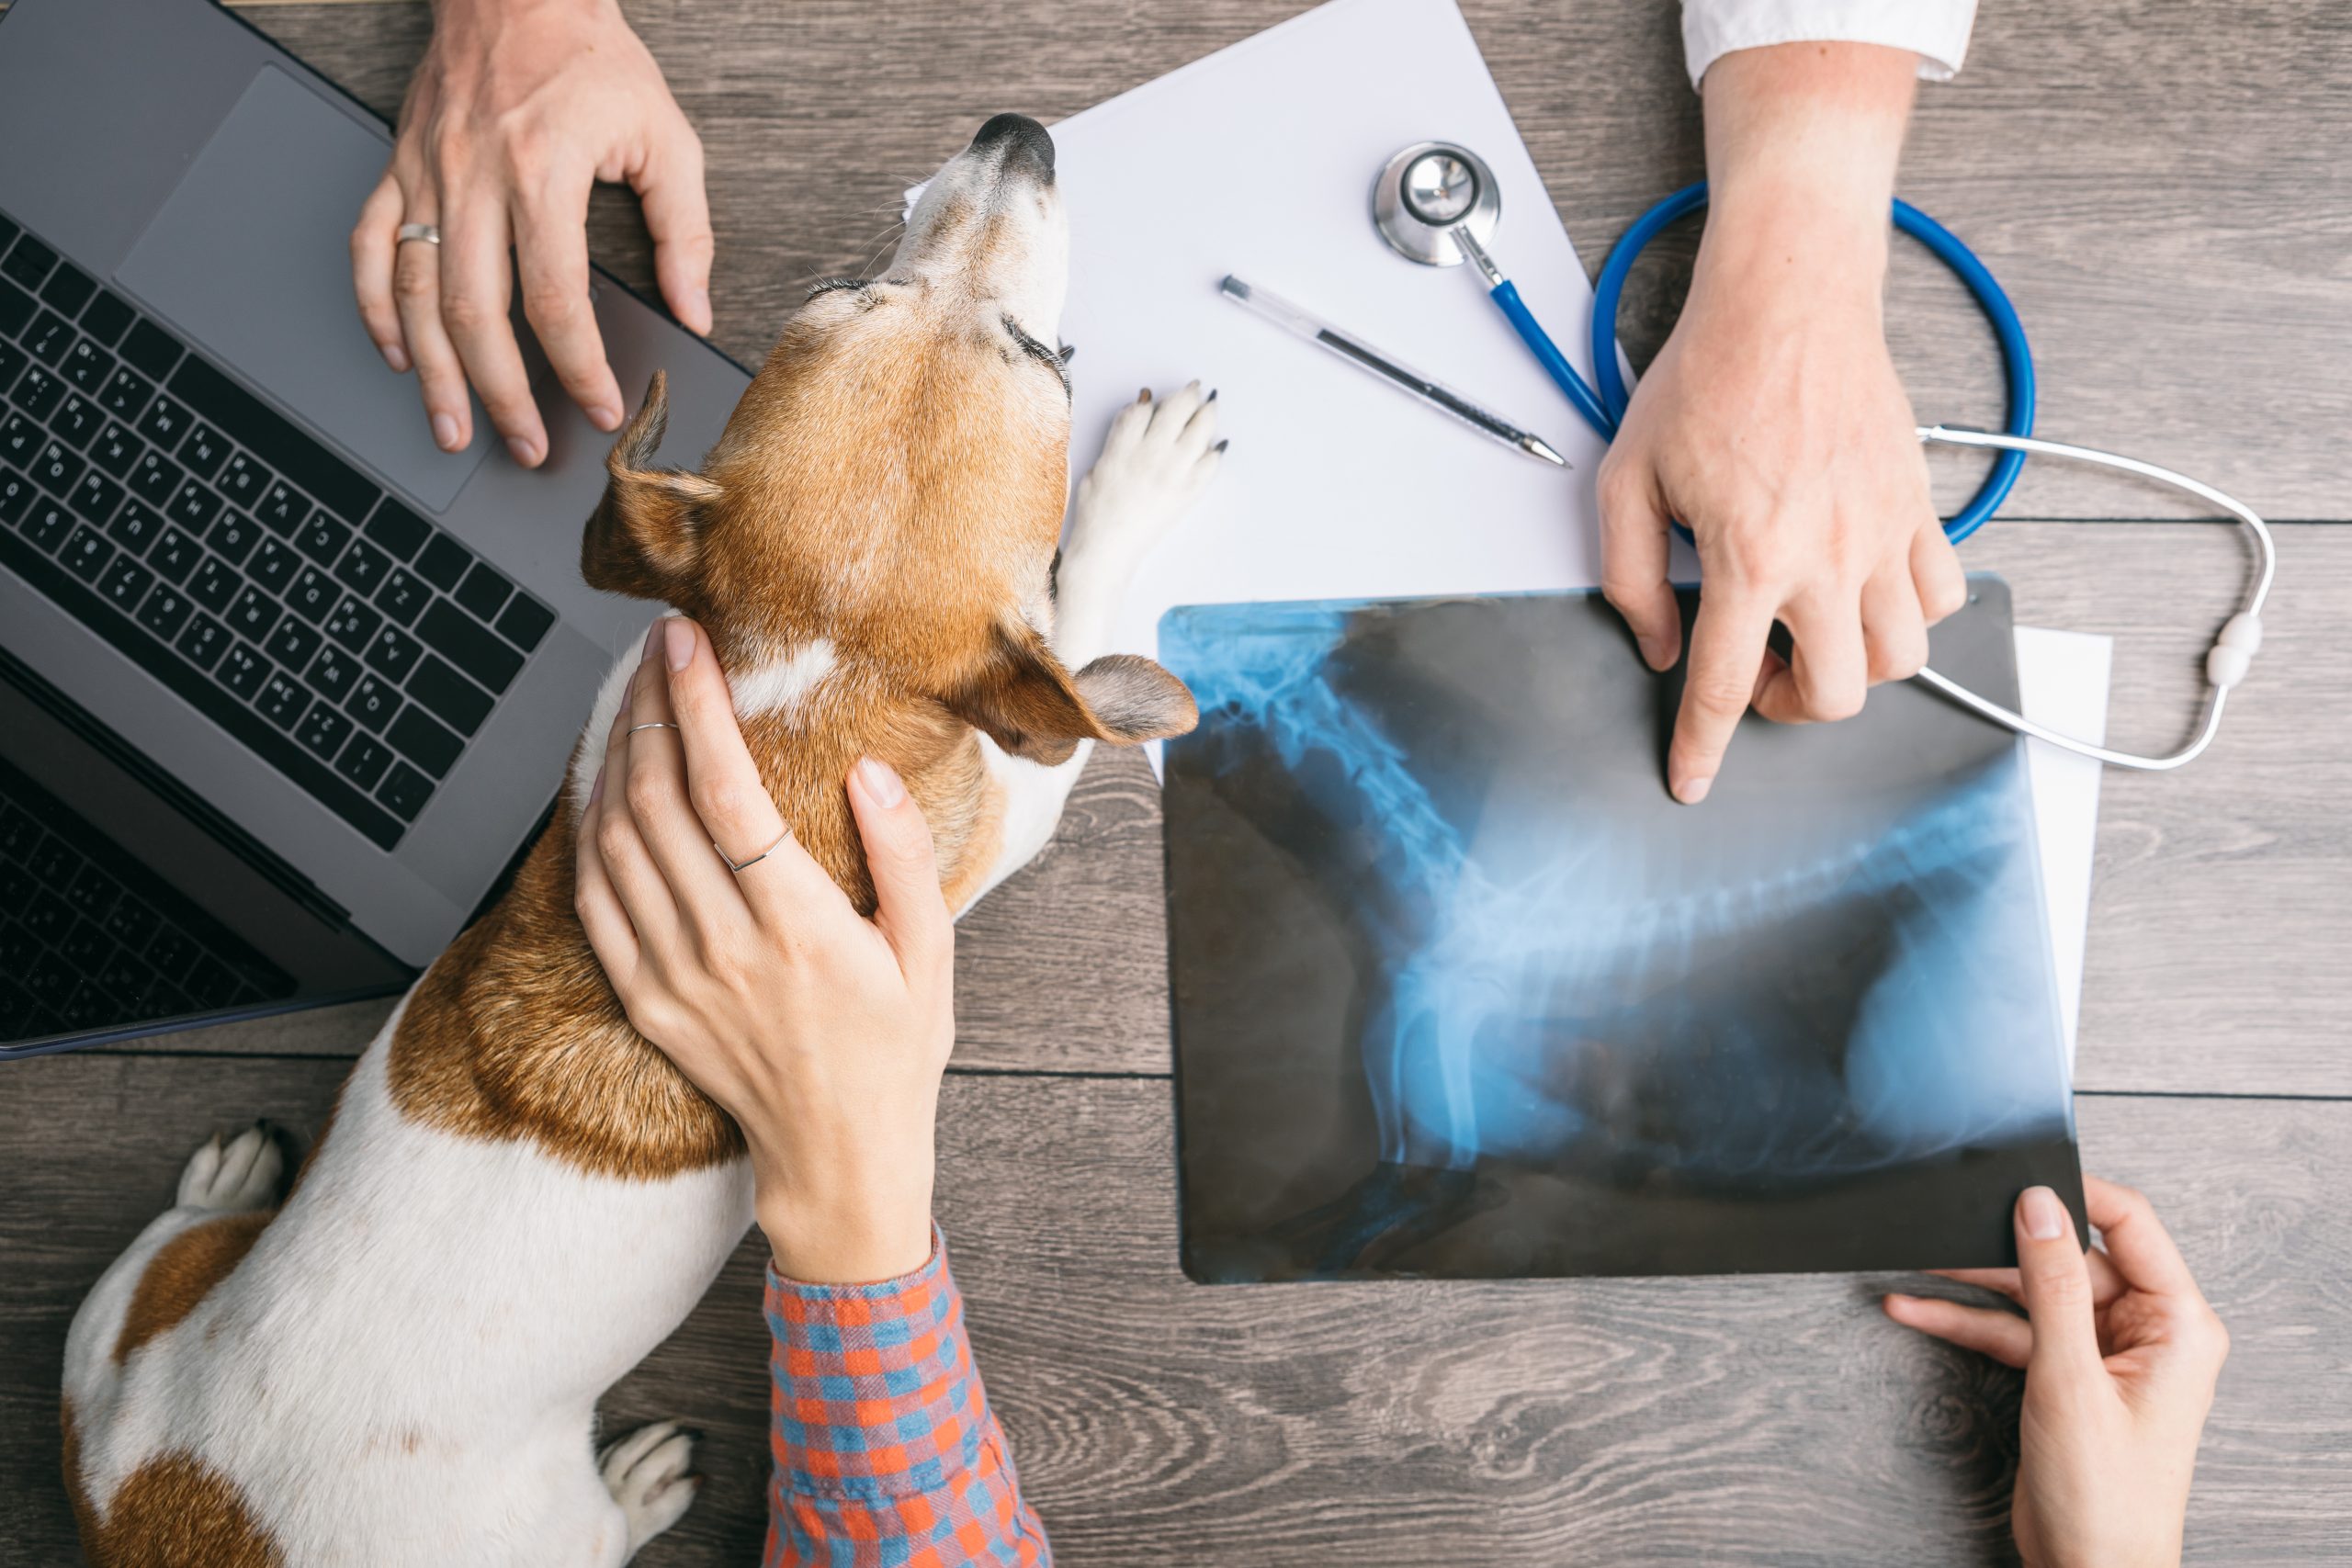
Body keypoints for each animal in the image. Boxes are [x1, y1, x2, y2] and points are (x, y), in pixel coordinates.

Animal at [64, 113, 1223, 1568]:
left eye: (841, 289)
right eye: (1038, 358)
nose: (1015, 135)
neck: (804, 684)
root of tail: (183, 1508)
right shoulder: (1021, 788)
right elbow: (1078, 611)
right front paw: (1143, 480)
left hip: (119, 1339)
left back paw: (217, 1182)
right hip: (539, 1528)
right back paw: (645, 1482)